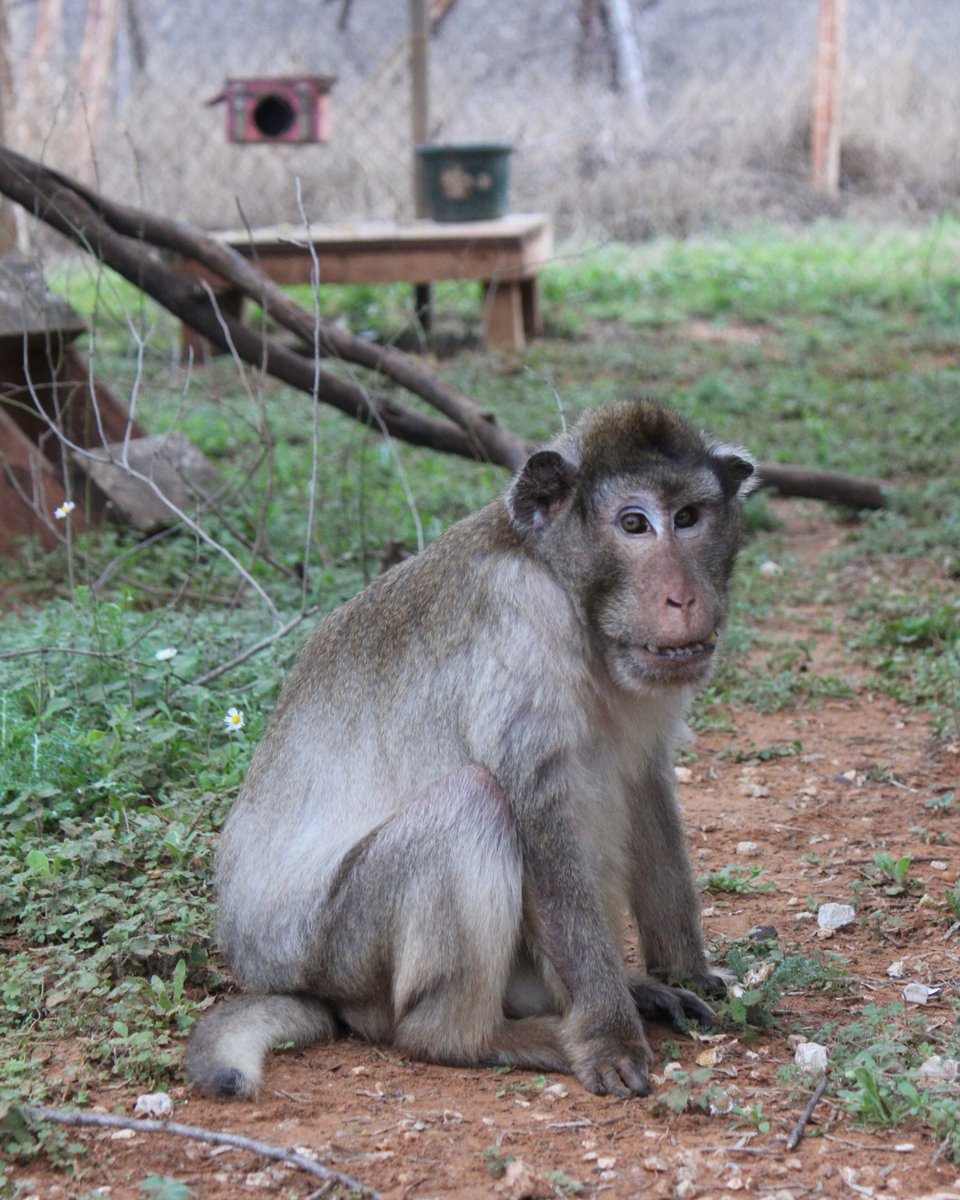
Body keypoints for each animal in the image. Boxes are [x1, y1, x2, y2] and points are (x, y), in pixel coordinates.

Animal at [185, 397, 757, 1101]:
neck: (564, 590)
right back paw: (474, 1038)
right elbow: (539, 822)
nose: (684, 597)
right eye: (633, 523)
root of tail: (278, 971)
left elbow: (645, 785)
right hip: (342, 952)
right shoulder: (518, 633)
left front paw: (683, 975)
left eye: (688, 517)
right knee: (472, 801)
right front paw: (608, 1037)